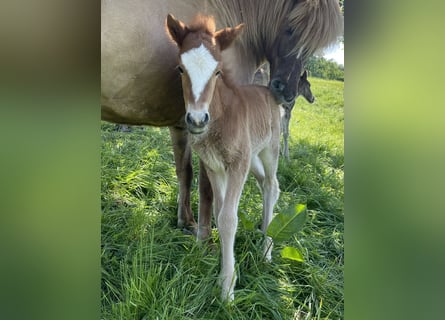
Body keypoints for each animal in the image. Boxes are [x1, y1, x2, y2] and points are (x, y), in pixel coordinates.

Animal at [101, 0, 344, 239]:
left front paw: (186, 222)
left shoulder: (183, 125)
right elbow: (208, 188)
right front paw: (206, 238)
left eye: (313, 47)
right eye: (290, 29)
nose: (286, 91)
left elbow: (184, 172)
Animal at [165, 13, 280, 302]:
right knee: (269, 186)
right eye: (180, 69)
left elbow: (229, 219)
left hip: (269, 149)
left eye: (217, 71)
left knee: (271, 183)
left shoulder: (237, 163)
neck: (220, 117)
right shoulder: (214, 166)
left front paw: (227, 286)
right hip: (254, 156)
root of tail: (268, 91)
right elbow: (218, 212)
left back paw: (266, 249)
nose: (196, 120)